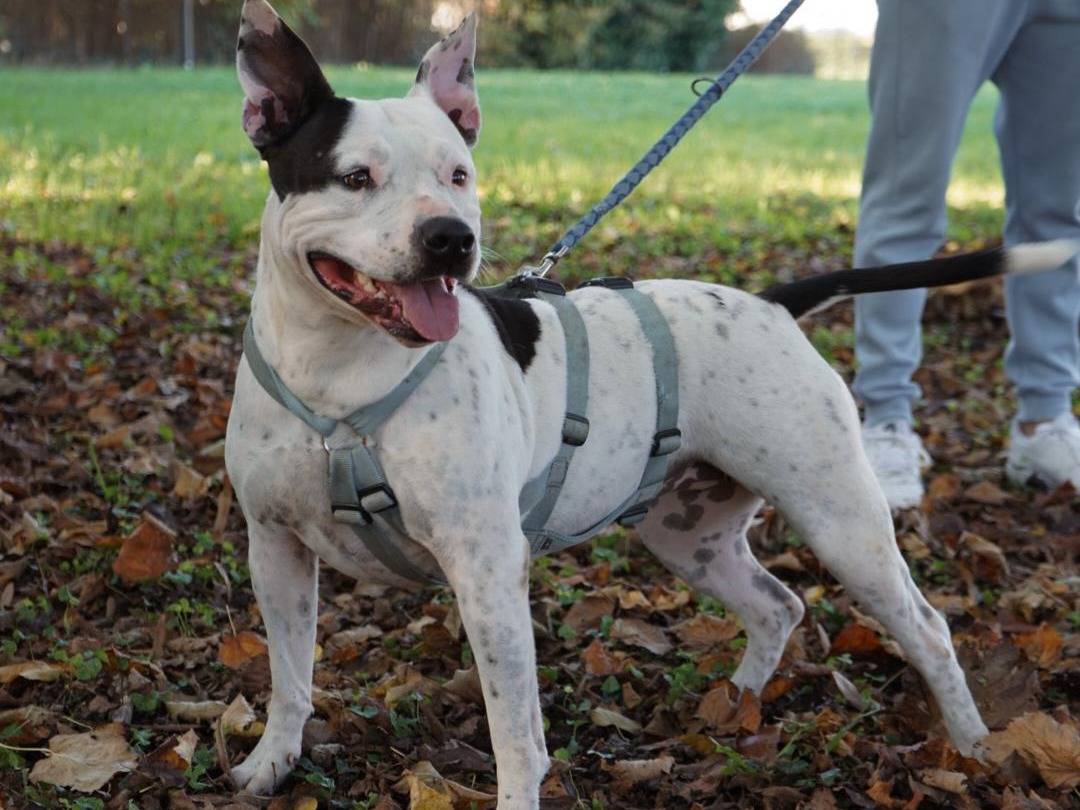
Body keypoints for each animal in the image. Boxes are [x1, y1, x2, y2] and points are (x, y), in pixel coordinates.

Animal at [223, 3, 1075, 807]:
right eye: (355, 177)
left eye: (459, 174)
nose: (450, 238)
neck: (336, 375)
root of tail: (770, 304)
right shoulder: (275, 550)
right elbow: (290, 677)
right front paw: (272, 763)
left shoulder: (488, 569)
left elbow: (515, 733)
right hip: (687, 534)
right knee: (777, 606)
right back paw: (735, 705)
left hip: (842, 522)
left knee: (925, 628)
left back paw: (972, 745)